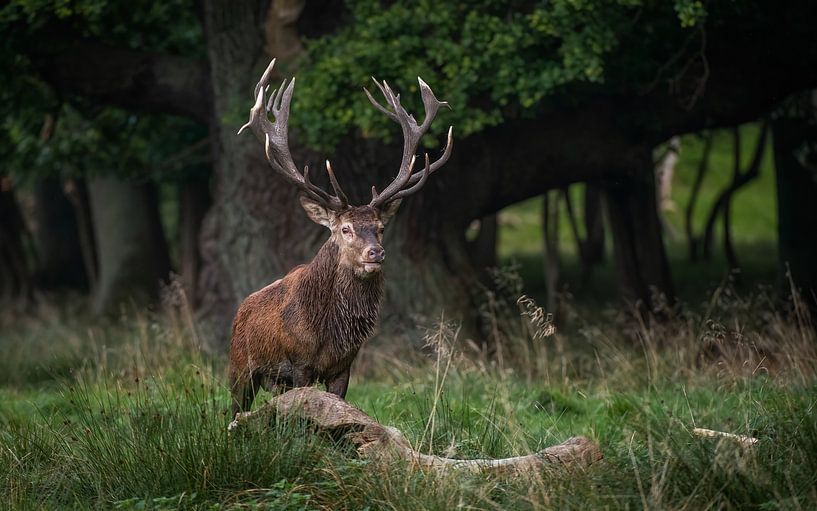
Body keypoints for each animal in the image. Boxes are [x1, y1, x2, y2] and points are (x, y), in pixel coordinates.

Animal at [228, 59, 453, 417]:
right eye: (345, 229)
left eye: (380, 227)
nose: (376, 253)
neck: (329, 334)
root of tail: (240, 310)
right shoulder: (299, 364)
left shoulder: (343, 367)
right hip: (240, 369)